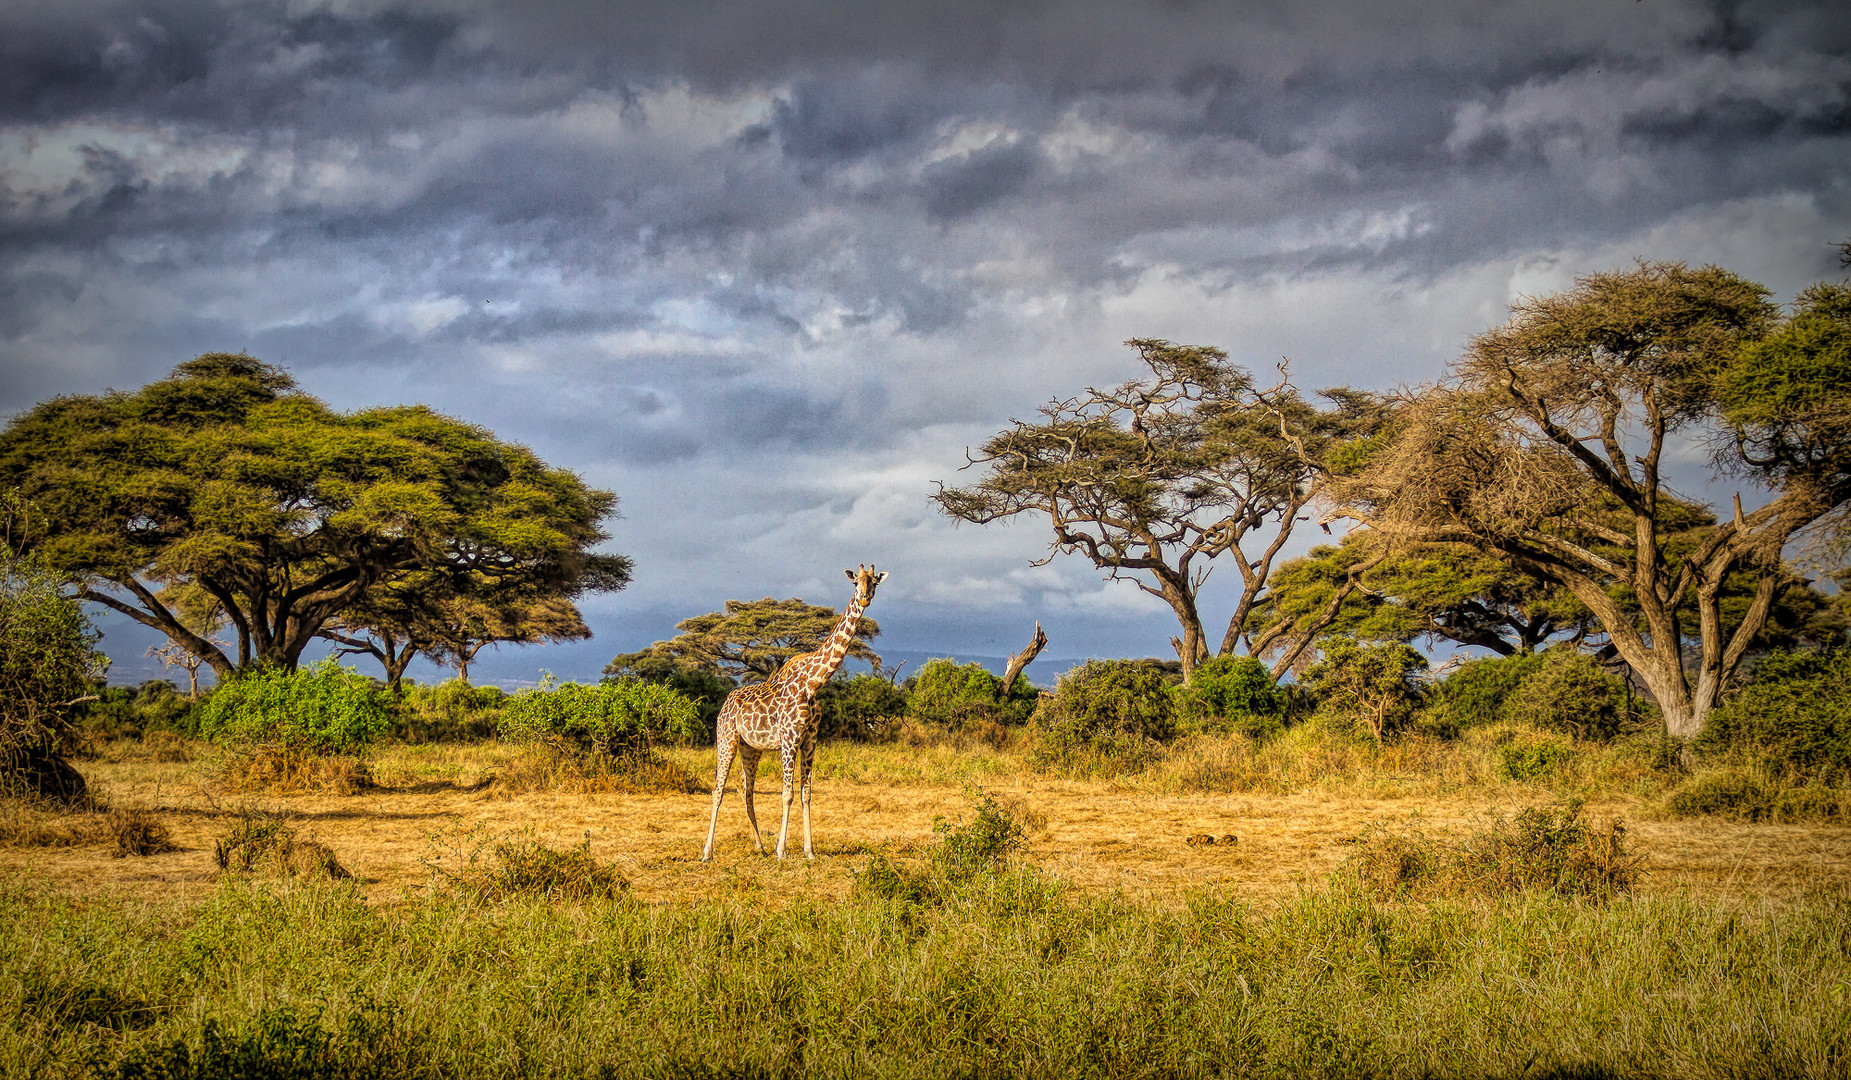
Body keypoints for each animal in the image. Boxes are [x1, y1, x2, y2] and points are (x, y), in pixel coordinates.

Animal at [699, 566, 888, 863]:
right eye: (855, 582)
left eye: (875, 583)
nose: (864, 598)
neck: (813, 683)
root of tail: (726, 703)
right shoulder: (789, 739)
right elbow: (787, 793)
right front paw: (782, 850)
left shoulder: (810, 741)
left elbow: (806, 793)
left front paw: (809, 851)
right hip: (726, 739)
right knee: (718, 789)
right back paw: (708, 852)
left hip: (751, 748)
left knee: (745, 790)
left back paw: (760, 847)